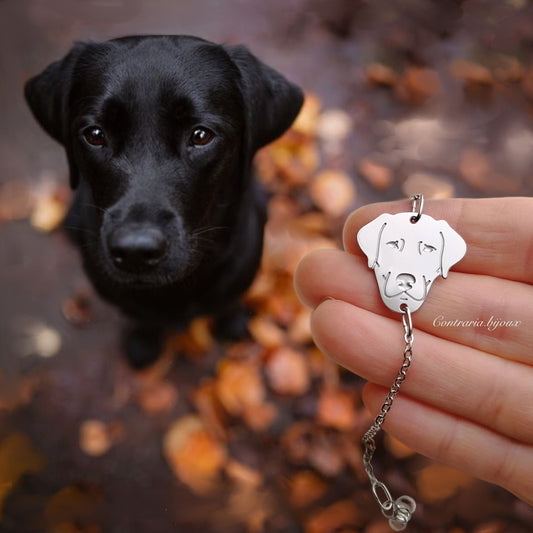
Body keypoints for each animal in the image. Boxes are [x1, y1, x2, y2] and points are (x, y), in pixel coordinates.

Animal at [26, 34, 304, 366]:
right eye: (95, 134)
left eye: (200, 135)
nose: (135, 251)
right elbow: (143, 317)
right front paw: (143, 343)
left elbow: (227, 302)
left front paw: (233, 323)